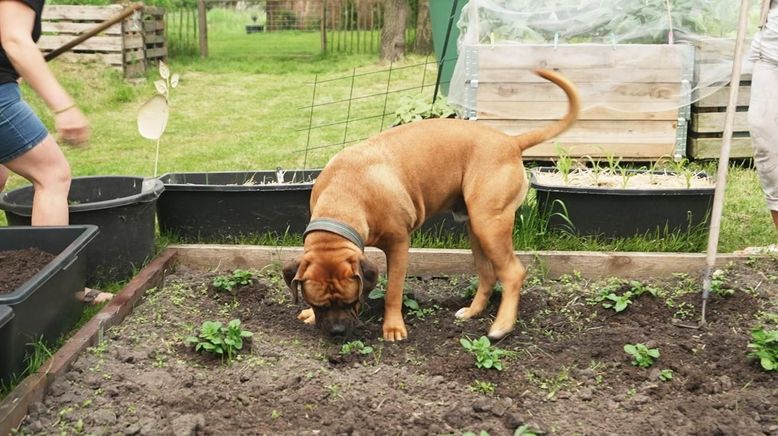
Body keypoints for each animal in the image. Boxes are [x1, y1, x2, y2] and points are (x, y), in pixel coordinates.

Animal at [280, 68, 576, 340]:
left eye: (351, 302)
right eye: (317, 304)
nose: (337, 331)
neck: (344, 197)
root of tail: (511, 142)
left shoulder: (399, 245)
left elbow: (393, 291)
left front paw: (393, 328)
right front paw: (309, 316)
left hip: (490, 224)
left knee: (512, 273)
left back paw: (501, 325)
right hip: (477, 228)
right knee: (488, 274)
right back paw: (473, 311)